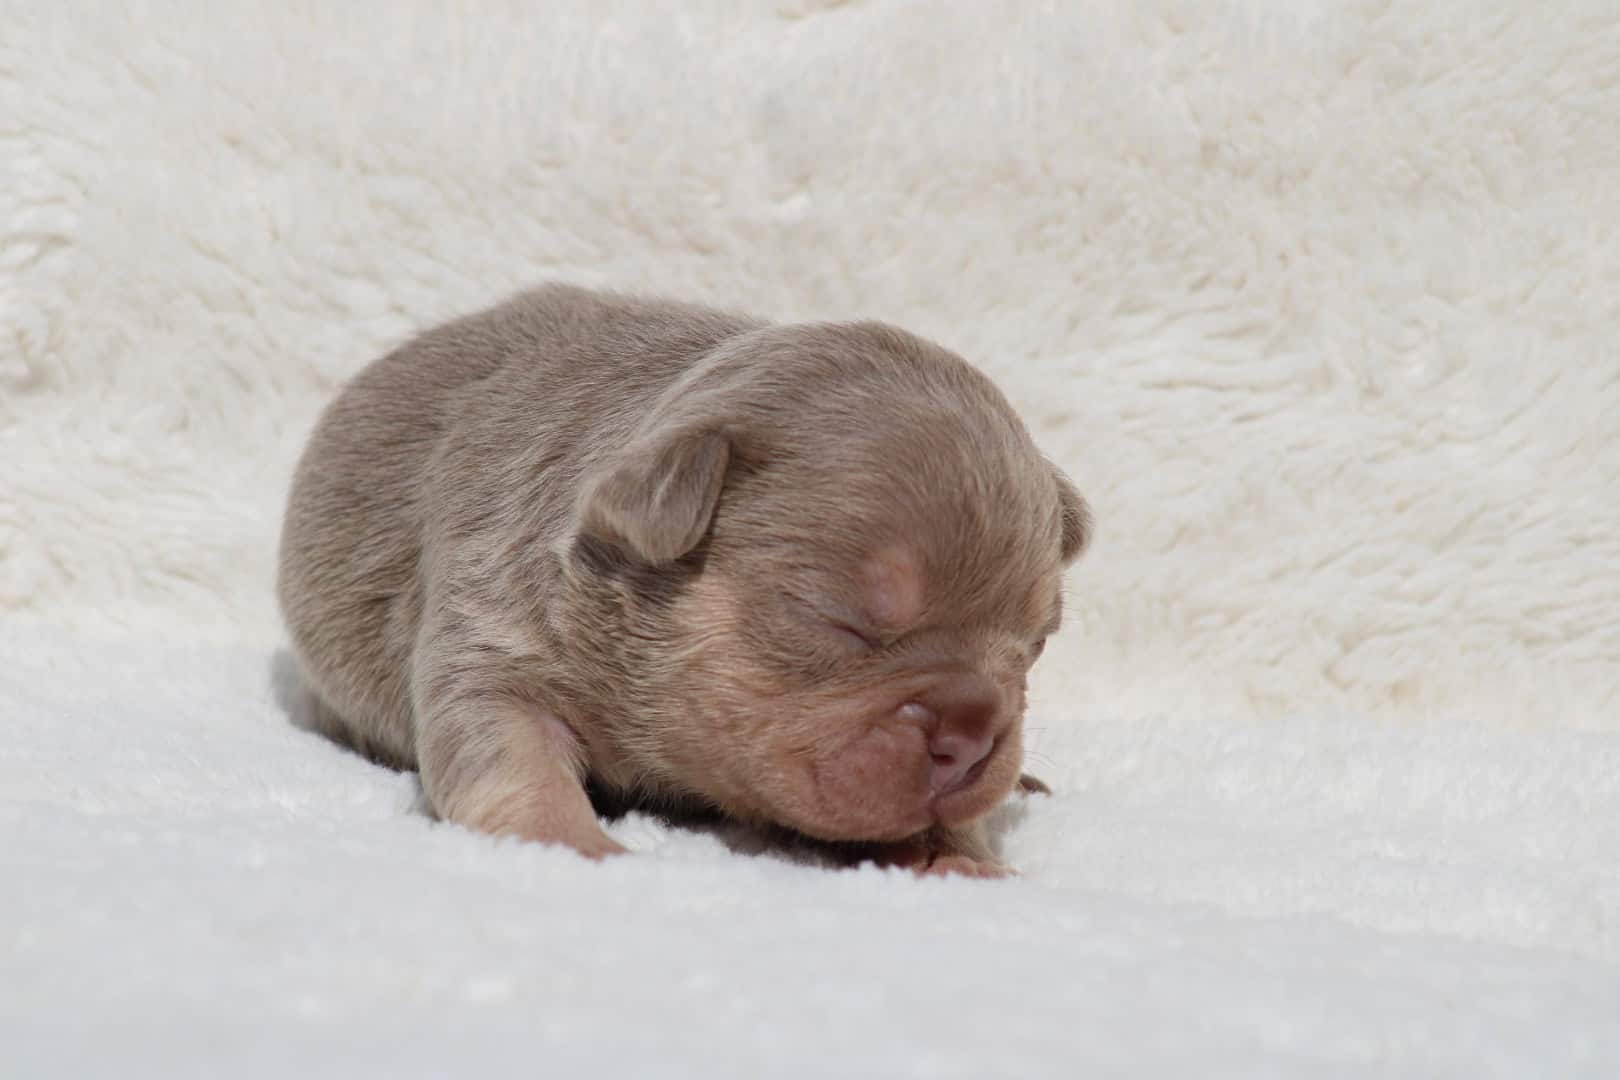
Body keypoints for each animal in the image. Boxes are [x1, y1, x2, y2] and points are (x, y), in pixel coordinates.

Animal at [278, 286, 1088, 880]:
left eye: (1037, 644)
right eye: (835, 619)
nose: (973, 732)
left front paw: (963, 857)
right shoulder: (491, 633)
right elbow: (511, 756)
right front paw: (579, 846)